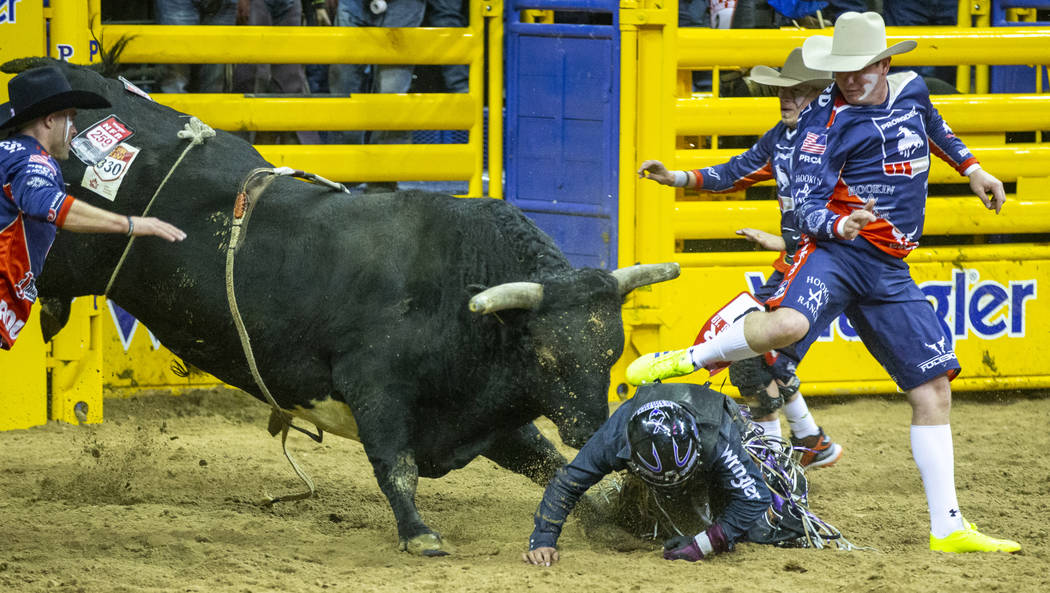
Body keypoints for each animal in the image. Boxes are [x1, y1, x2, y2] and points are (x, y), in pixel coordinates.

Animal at [22, 57, 680, 554]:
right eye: (546, 355)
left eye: (611, 354)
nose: (591, 424)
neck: (460, 293)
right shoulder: (375, 386)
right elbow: (395, 462)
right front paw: (418, 534)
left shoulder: (480, 413)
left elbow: (540, 459)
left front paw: (615, 514)